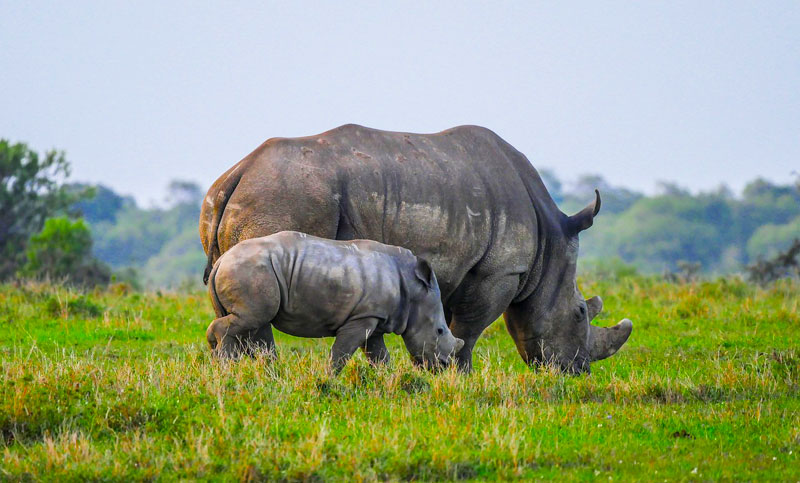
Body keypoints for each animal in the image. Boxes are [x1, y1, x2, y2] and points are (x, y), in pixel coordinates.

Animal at [206, 233, 462, 372]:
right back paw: (228, 366)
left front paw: (389, 380)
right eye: (440, 330)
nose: (443, 366)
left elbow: (379, 356)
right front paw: (328, 379)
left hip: (246, 269)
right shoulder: (362, 317)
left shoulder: (374, 318)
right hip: (250, 270)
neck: (412, 288)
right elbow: (341, 352)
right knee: (251, 319)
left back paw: (224, 361)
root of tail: (221, 260)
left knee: (249, 324)